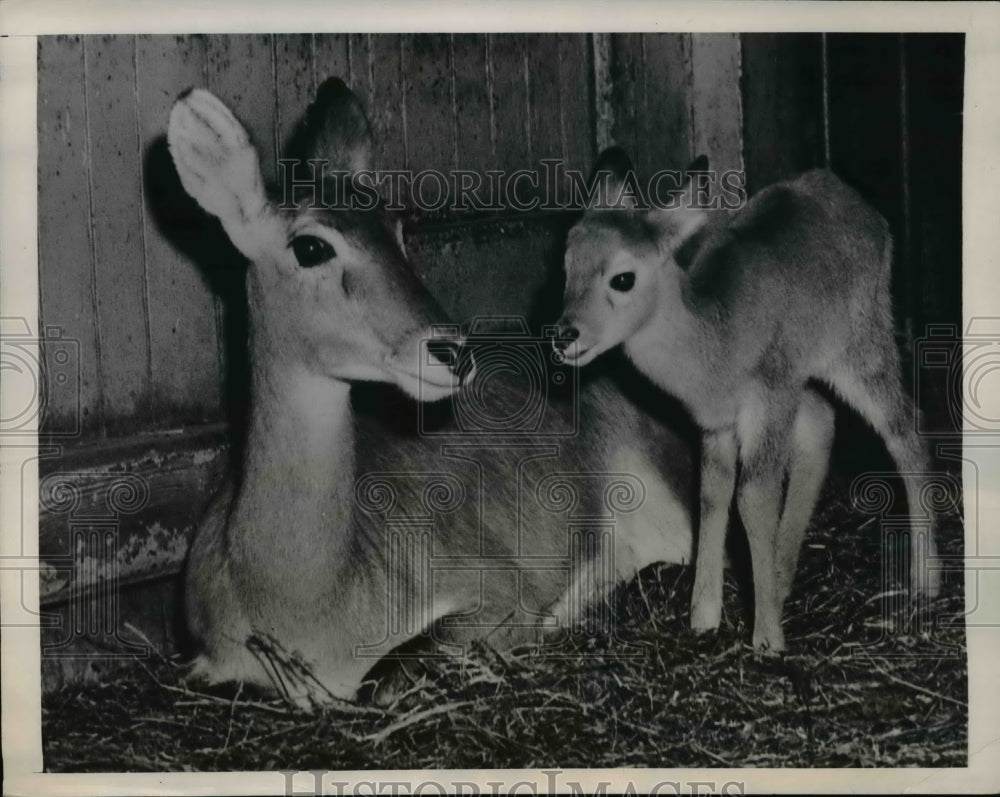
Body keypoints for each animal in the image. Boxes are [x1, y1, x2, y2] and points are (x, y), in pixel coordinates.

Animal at [169, 79, 708, 705]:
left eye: (397, 228)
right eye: (310, 247)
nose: (451, 351)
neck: (300, 598)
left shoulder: (495, 589)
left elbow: (394, 669)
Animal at [554, 147, 939, 652]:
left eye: (623, 278)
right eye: (566, 266)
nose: (565, 336)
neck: (715, 341)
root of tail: (853, 200)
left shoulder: (765, 400)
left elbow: (753, 497)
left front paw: (768, 638)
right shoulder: (716, 422)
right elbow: (712, 494)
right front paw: (703, 617)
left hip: (858, 342)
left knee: (905, 430)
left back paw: (926, 582)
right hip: (802, 373)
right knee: (823, 420)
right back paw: (782, 573)